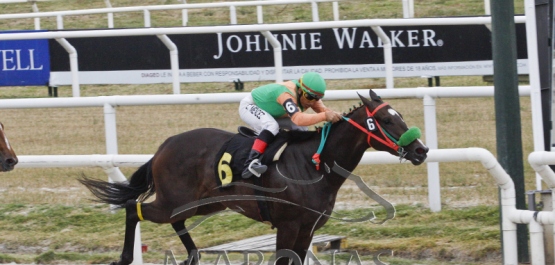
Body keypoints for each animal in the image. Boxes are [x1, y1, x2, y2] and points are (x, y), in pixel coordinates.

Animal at [80, 88, 430, 264]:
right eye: (387, 120)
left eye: (400, 115)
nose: (421, 150)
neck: (314, 165)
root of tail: (165, 145)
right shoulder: (288, 225)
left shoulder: (308, 228)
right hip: (173, 200)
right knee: (133, 209)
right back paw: (125, 257)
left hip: (203, 202)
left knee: (175, 220)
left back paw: (193, 256)